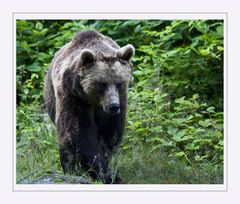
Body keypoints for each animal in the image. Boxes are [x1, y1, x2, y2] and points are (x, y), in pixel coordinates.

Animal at [44, 29, 135, 183]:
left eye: (119, 83)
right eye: (102, 83)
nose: (113, 106)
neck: (94, 100)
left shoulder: (118, 103)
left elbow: (109, 133)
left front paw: (107, 171)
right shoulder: (73, 97)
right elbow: (80, 131)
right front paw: (103, 173)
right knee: (66, 143)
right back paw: (71, 170)